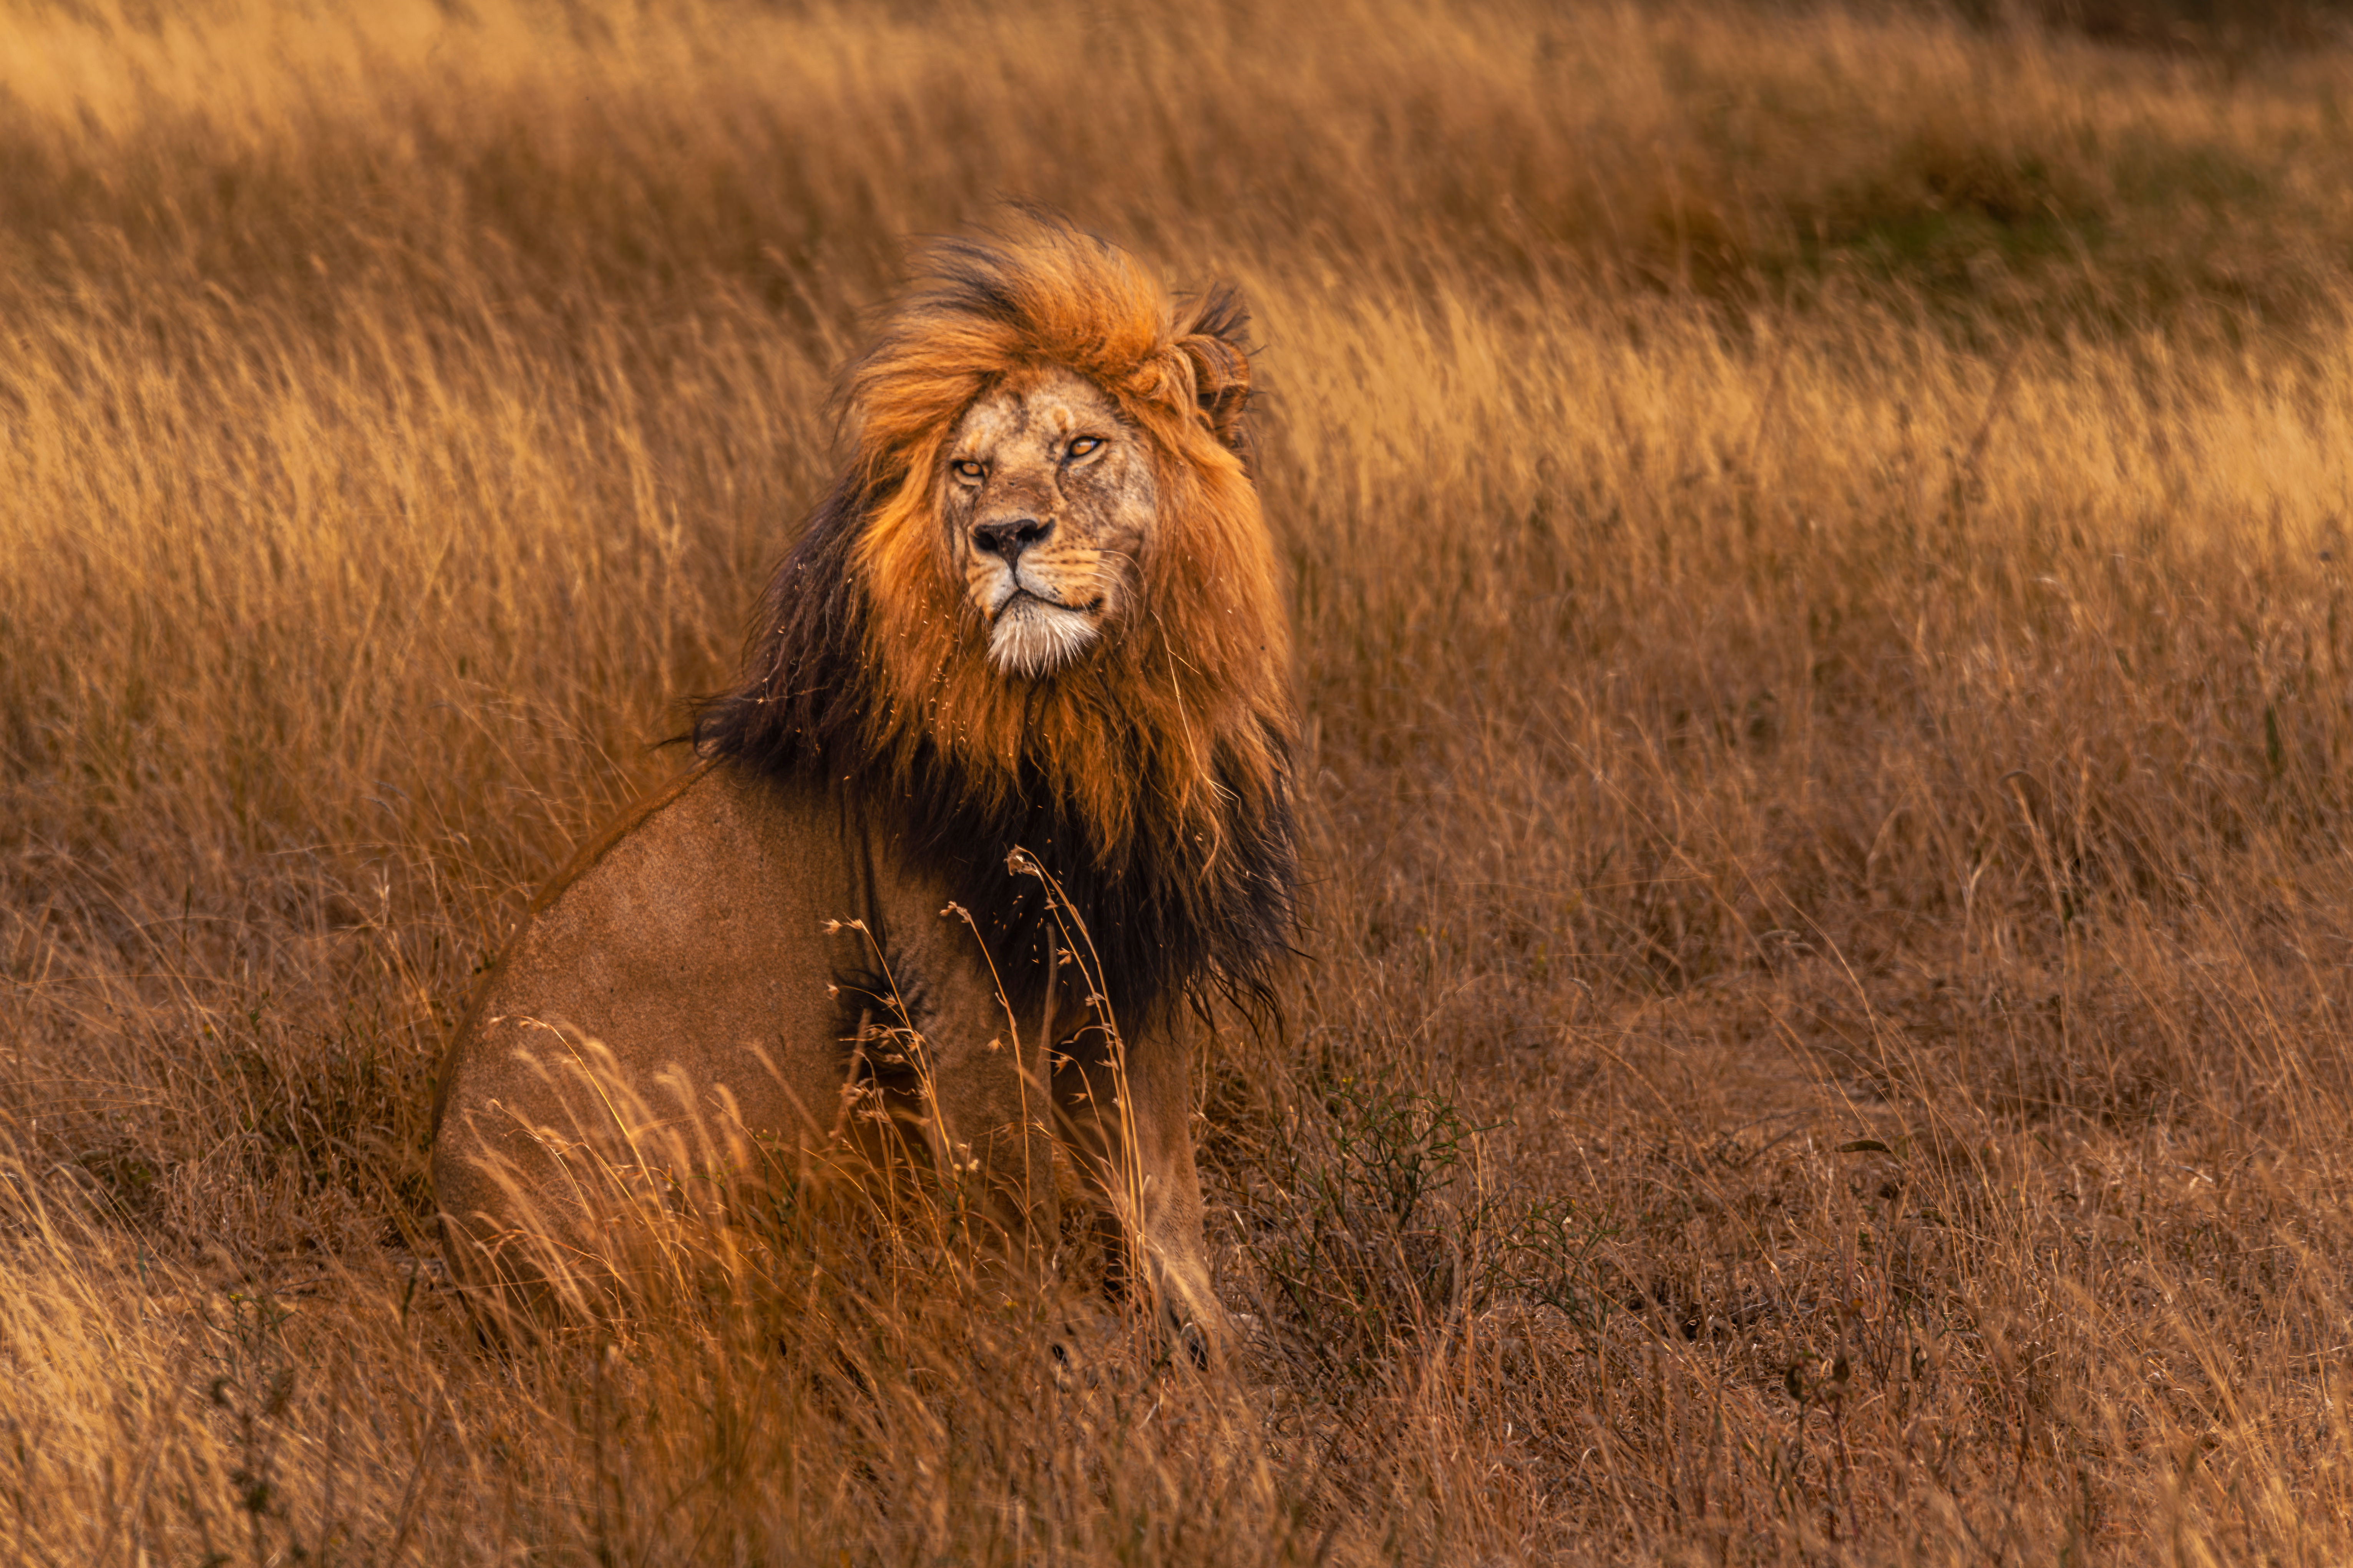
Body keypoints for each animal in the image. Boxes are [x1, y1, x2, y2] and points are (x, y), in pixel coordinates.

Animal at [429, 217, 1297, 1364]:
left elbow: (1164, 1187)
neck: (1089, 716)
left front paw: (1213, 1355)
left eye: (1081, 448)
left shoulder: (1132, 957)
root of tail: (453, 1246)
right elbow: (1031, 1200)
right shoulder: (966, 989)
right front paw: (1071, 1365)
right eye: (968, 470)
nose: (1001, 537)